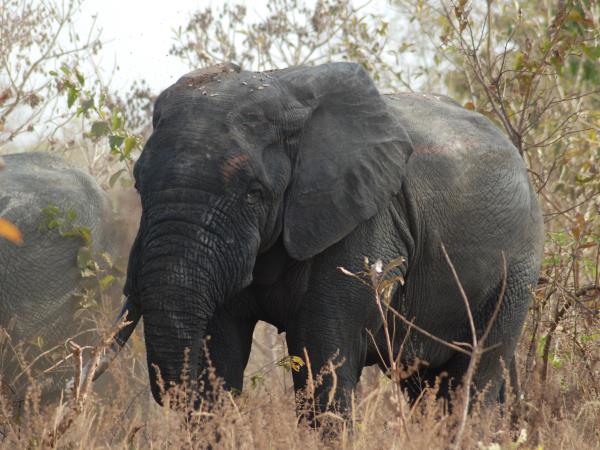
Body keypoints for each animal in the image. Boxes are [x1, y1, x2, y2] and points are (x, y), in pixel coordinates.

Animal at [112, 61, 544, 420]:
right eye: (138, 184)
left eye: (254, 193)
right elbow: (219, 350)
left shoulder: (364, 223)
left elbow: (323, 356)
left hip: (516, 270)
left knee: (471, 380)